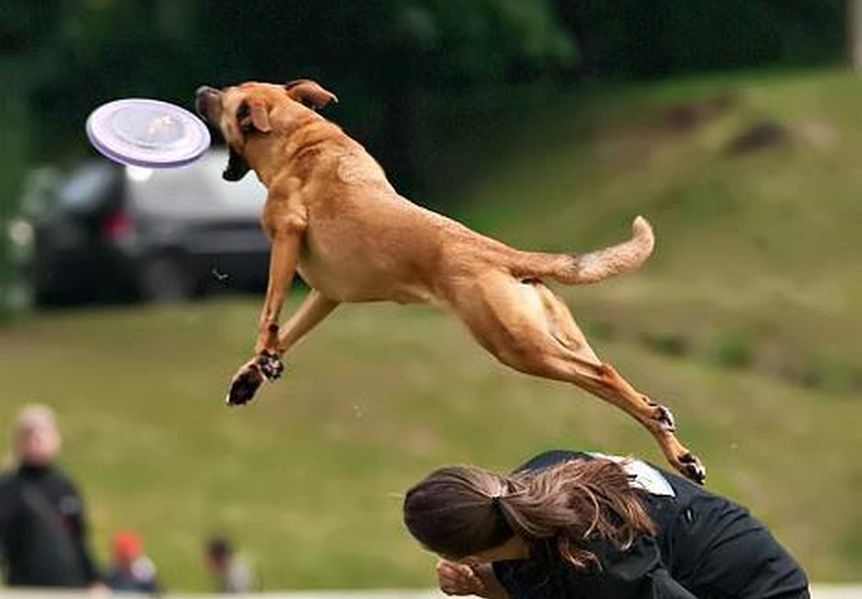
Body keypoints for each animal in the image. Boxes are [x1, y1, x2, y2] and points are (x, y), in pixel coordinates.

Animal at [196, 81, 708, 482]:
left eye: (226, 96)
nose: (201, 90)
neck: (300, 140)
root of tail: (506, 255)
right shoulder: (327, 295)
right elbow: (288, 332)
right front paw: (252, 375)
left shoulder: (286, 236)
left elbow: (269, 313)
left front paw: (263, 359)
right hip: (553, 337)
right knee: (612, 381)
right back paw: (678, 451)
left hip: (518, 346)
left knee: (604, 375)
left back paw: (660, 426)